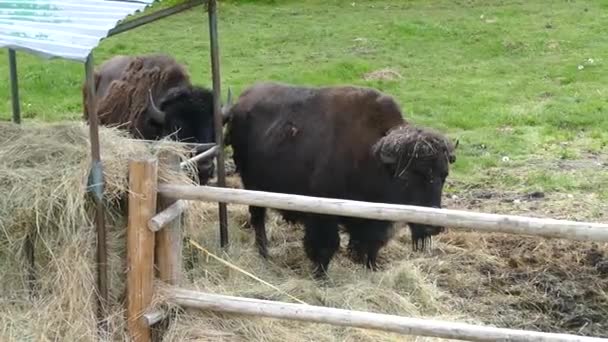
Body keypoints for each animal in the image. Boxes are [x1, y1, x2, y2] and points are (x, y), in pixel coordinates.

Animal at [226, 82, 458, 278]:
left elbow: (372, 245)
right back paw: (264, 254)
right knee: (258, 218)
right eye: (407, 177)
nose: (432, 228)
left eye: (444, 175)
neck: (374, 158)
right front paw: (321, 276)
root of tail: (240, 102)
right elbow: (326, 245)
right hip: (253, 185)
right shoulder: (323, 213)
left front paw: (371, 268)